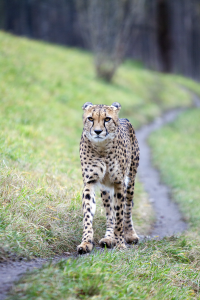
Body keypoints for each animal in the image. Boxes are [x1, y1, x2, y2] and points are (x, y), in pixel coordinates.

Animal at [77, 102, 140, 254]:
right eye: (90, 118)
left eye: (107, 119)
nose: (98, 131)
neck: (101, 148)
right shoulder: (89, 182)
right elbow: (88, 214)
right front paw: (86, 243)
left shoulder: (119, 183)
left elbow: (120, 216)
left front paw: (120, 244)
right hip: (105, 189)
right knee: (110, 212)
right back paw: (108, 238)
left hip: (130, 181)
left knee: (127, 208)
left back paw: (130, 234)